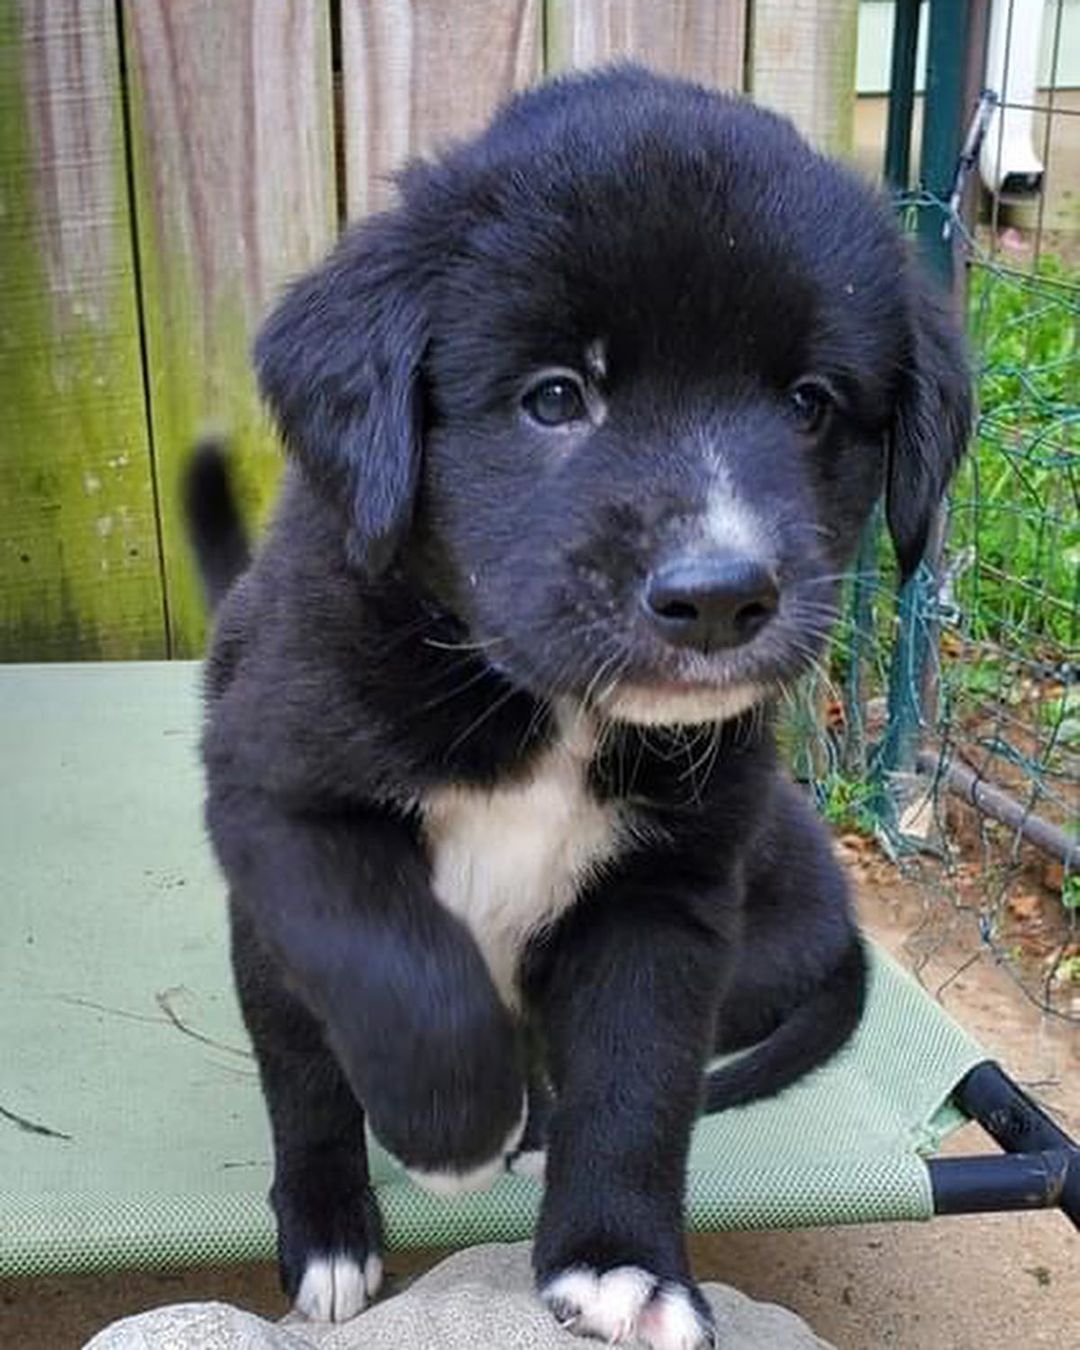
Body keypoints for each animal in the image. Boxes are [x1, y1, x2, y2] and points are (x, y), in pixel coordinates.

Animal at [190, 71, 972, 1350]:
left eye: (810, 403)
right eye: (556, 397)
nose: (719, 597)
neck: (545, 711)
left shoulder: (663, 895)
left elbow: (635, 1086)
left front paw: (620, 1262)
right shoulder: (281, 802)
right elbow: (396, 962)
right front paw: (456, 1128)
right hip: (267, 956)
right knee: (304, 1083)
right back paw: (331, 1228)